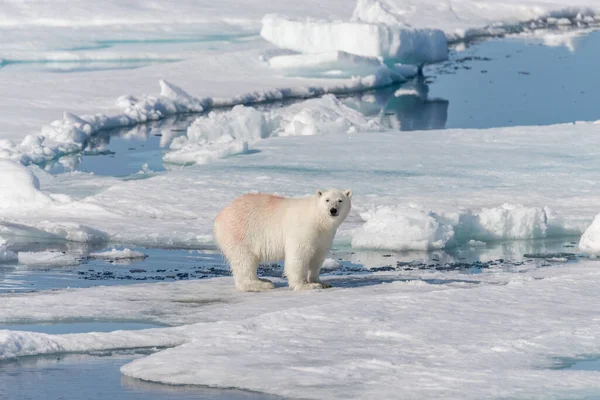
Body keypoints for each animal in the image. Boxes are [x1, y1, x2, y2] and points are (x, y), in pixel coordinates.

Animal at [214, 189, 352, 292]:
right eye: (327, 200)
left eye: (340, 200)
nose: (333, 210)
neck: (318, 219)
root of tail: (219, 217)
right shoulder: (303, 229)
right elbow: (298, 256)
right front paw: (305, 285)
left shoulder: (324, 236)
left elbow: (317, 257)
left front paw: (320, 282)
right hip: (240, 232)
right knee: (244, 259)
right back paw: (260, 284)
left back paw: (263, 280)